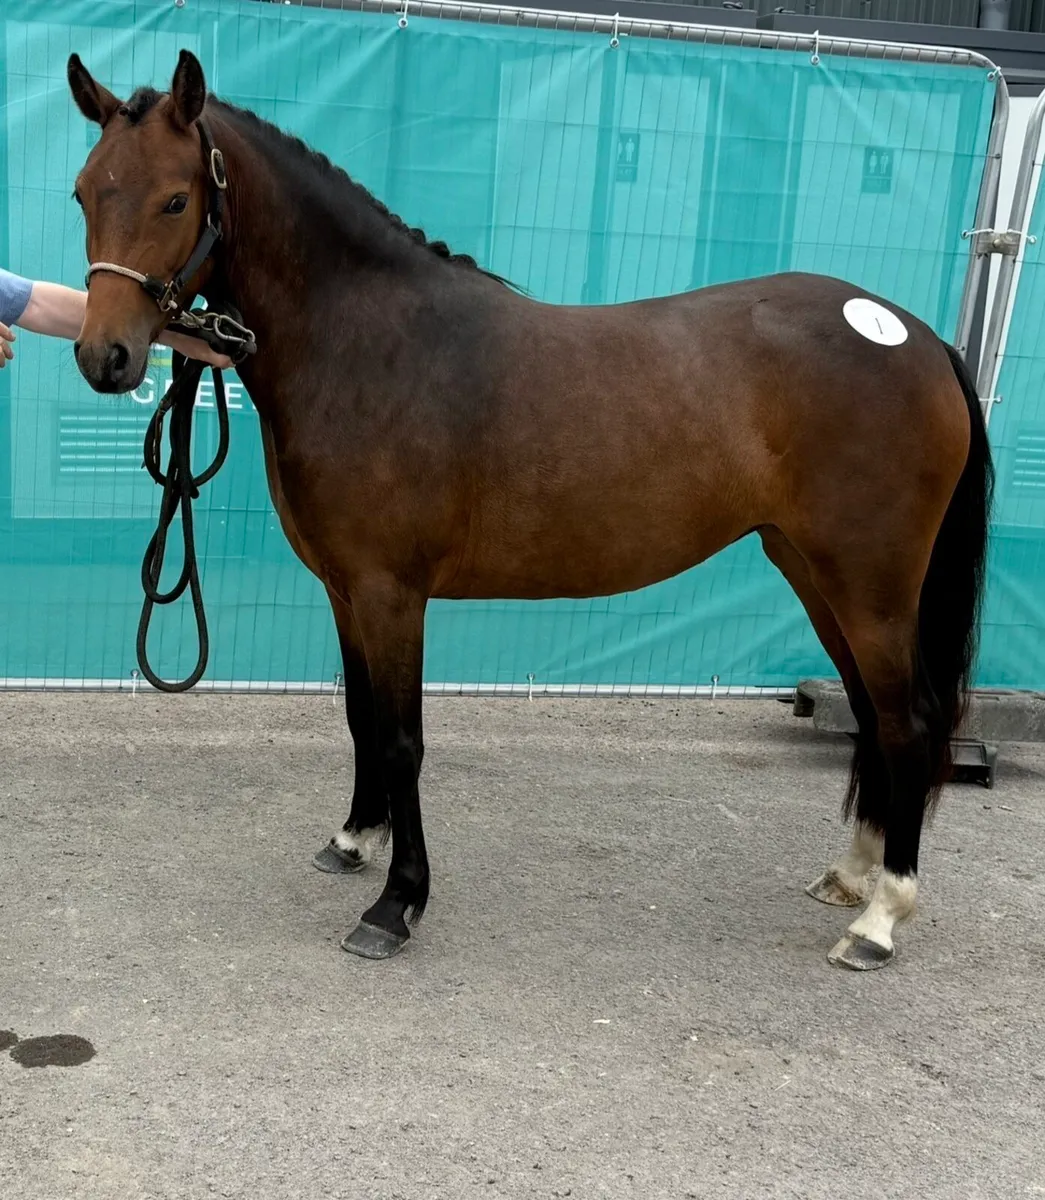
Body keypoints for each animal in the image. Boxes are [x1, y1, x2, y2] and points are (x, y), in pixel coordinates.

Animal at [66, 50, 992, 971]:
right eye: (82, 192)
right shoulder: (344, 589)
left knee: (906, 723)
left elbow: (400, 739)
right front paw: (353, 839)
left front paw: (397, 903)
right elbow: (360, 717)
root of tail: (918, 338)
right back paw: (851, 877)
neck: (369, 344)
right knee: (871, 716)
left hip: (869, 586)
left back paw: (879, 918)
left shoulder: (391, 593)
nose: (104, 357)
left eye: (175, 199)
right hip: (812, 571)